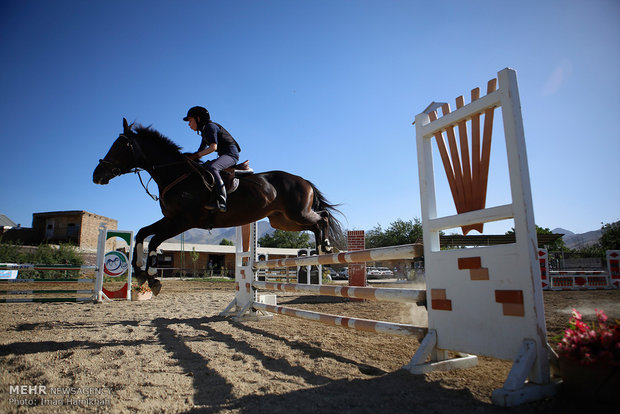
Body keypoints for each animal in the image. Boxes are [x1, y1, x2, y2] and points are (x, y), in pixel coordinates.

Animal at [94, 119, 342, 294]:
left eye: (119, 146)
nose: (96, 175)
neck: (175, 174)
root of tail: (304, 180)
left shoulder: (183, 222)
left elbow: (154, 240)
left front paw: (152, 276)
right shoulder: (171, 219)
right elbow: (142, 233)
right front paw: (140, 272)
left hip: (297, 213)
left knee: (323, 217)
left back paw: (326, 246)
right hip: (283, 221)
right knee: (315, 224)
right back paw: (321, 248)